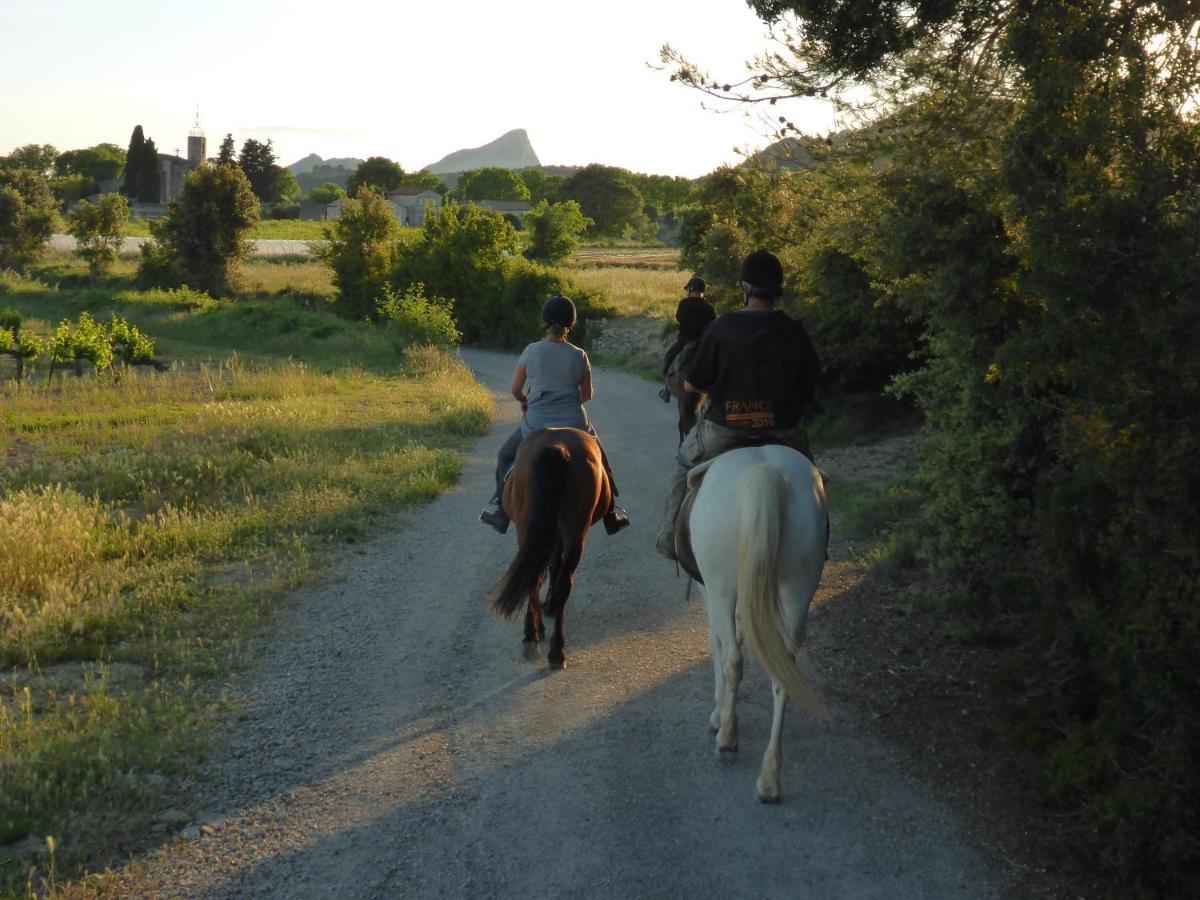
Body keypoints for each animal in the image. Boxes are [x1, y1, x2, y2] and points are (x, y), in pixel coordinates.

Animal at [487, 427, 609, 672]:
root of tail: (557, 447)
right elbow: (554, 565)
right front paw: (549, 606)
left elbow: (549, 566)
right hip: (575, 528)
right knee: (562, 580)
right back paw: (556, 651)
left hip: (528, 526)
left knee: (535, 577)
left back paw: (533, 636)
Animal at [686, 444, 825, 801]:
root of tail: (766, 473)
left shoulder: (711, 591)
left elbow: (718, 644)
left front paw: (719, 715)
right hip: (798, 586)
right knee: (783, 670)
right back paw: (770, 777)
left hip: (722, 586)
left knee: (733, 658)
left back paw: (727, 739)